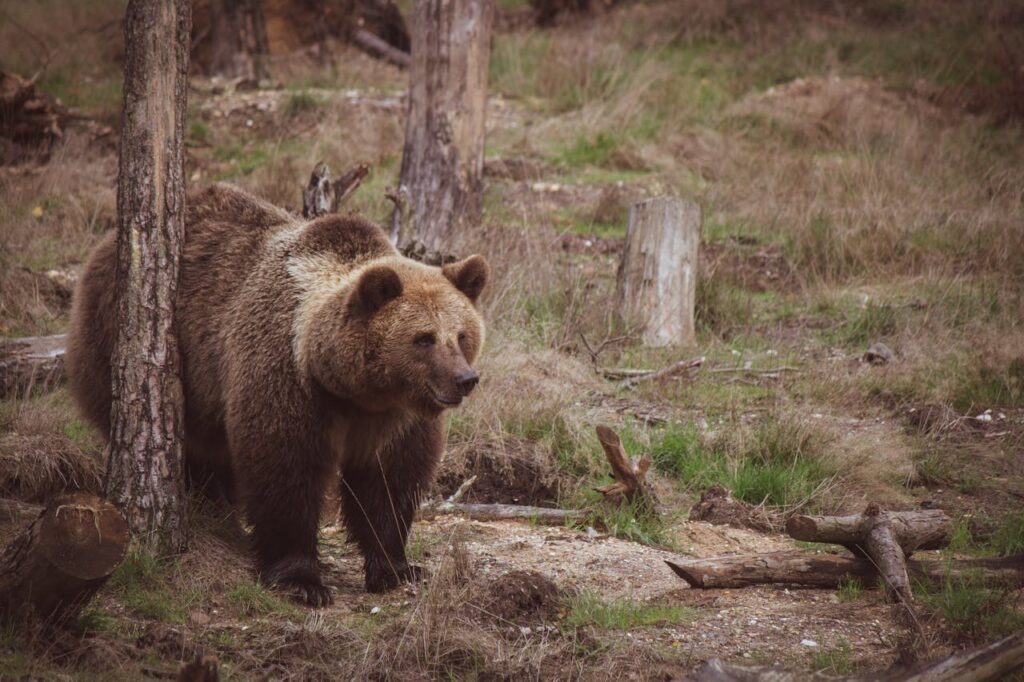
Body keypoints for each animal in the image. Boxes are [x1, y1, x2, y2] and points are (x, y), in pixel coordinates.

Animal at [66, 183, 488, 606]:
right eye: (424, 338)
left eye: (461, 335)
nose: (464, 379)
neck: (352, 389)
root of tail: (104, 246)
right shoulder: (287, 377)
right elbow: (284, 467)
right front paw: (301, 580)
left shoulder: (394, 417)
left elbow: (389, 481)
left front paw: (396, 567)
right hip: (124, 340)